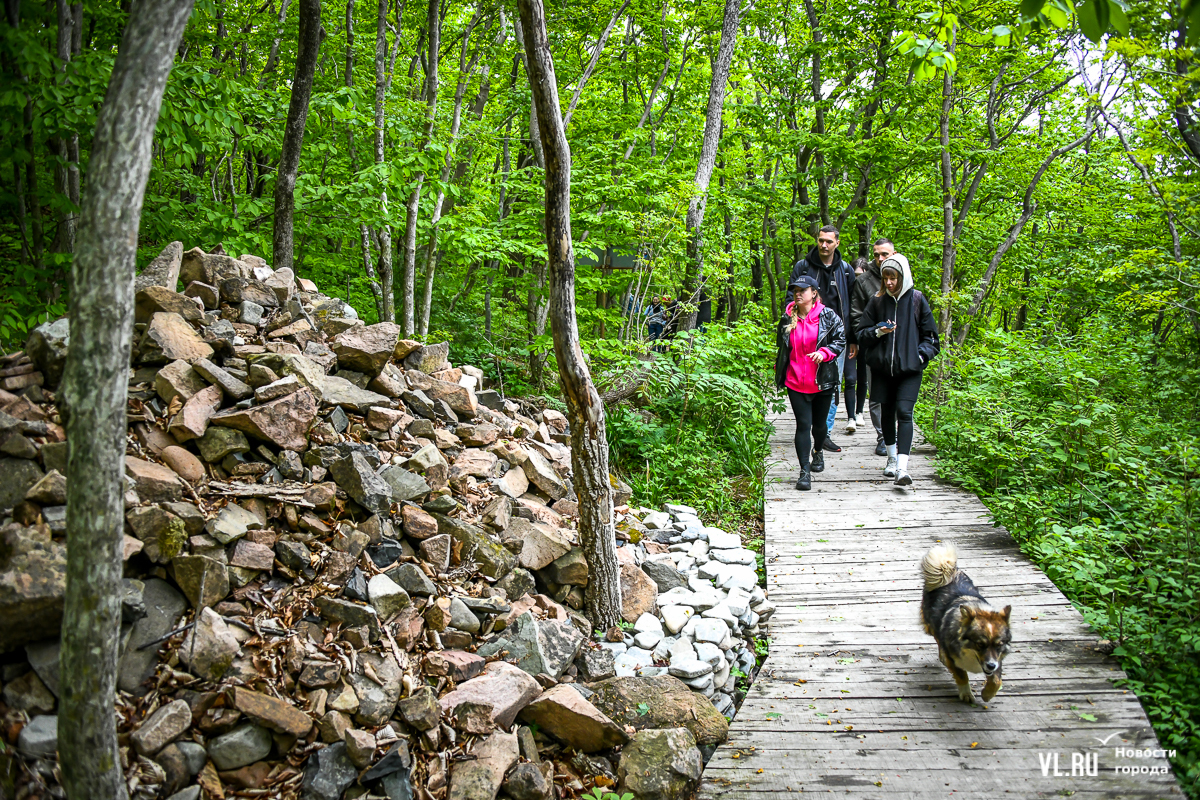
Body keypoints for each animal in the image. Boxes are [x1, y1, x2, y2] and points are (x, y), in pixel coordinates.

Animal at [916, 544, 1012, 705]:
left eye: (999, 645)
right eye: (980, 644)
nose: (990, 665)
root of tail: (949, 570)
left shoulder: (997, 659)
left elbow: (996, 680)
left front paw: (987, 694)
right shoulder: (953, 657)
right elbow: (962, 675)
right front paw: (966, 693)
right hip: (931, 624)